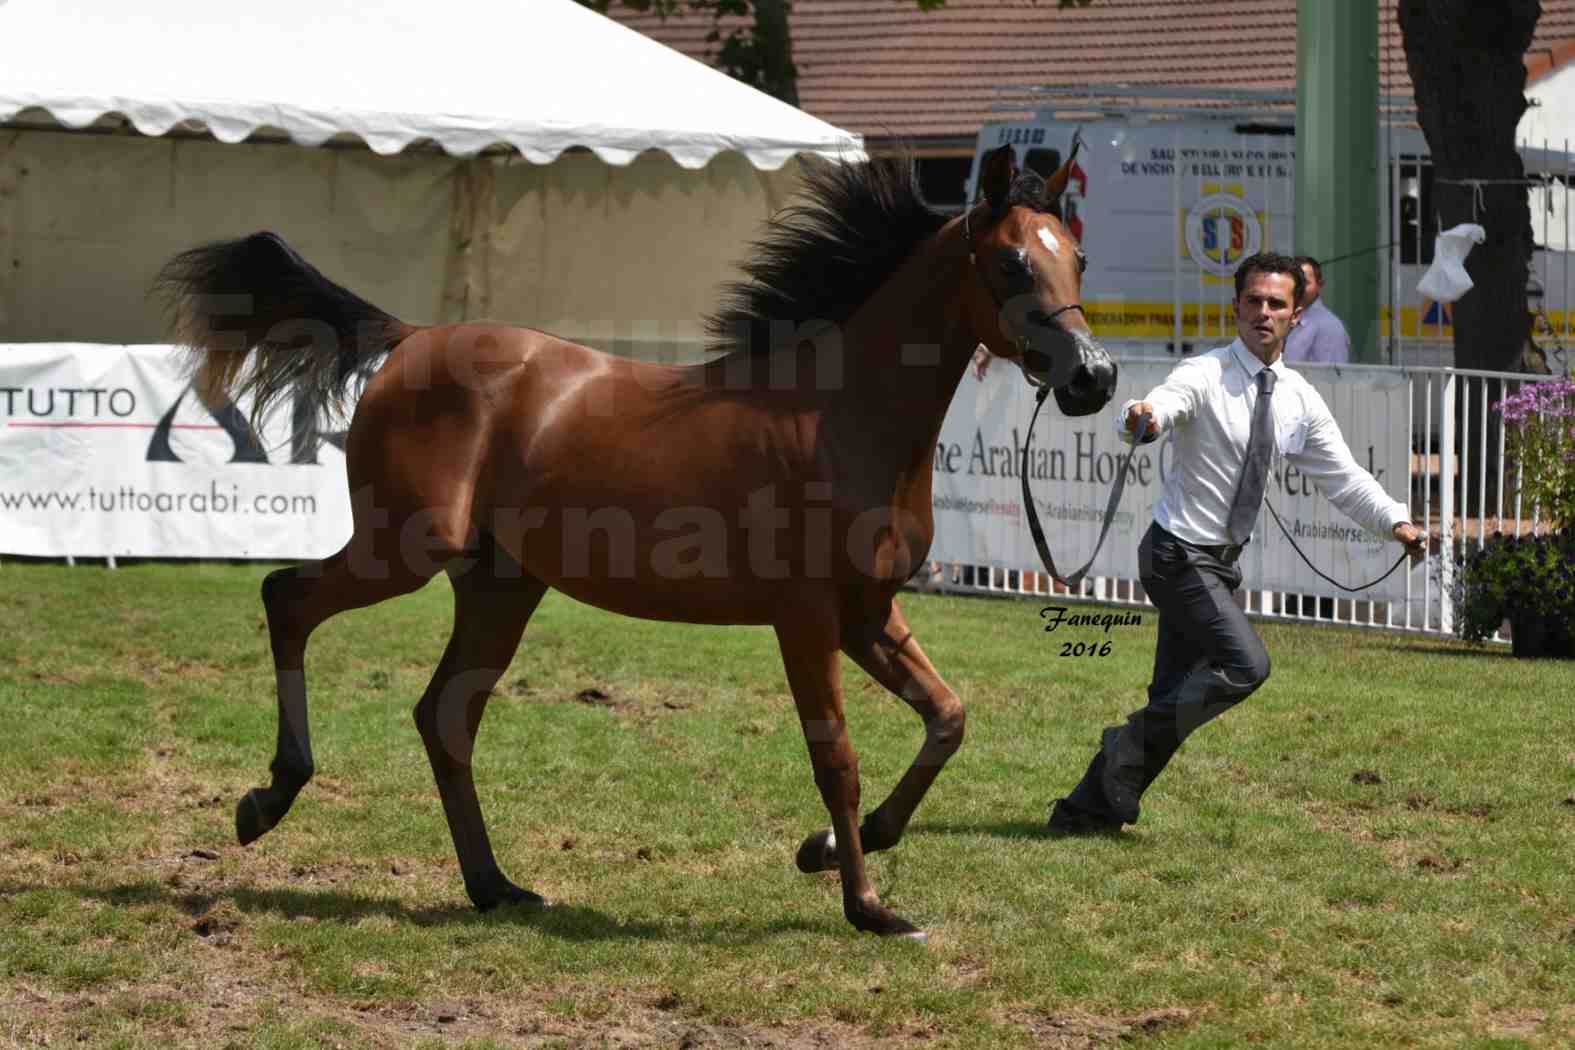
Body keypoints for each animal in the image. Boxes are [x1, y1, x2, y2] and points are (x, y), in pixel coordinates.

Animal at [156, 144, 1121, 938]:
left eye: (1075, 257)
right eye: (1010, 261)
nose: (1094, 378)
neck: (838, 417)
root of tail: (413, 340)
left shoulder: (869, 614)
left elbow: (947, 718)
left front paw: (827, 851)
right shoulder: (808, 621)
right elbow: (836, 757)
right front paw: (867, 906)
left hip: (500, 587)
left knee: (445, 715)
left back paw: (495, 886)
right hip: (402, 549)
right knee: (287, 598)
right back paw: (266, 800)